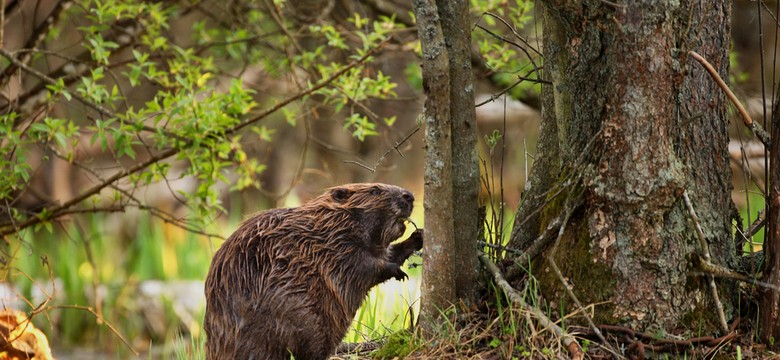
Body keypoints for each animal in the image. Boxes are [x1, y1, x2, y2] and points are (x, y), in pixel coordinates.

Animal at [201, 184, 420, 358]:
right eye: (375, 190)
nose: (409, 195)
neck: (327, 224)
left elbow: (387, 253)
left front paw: (418, 236)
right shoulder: (334, 247)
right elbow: (361, 266)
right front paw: (398, 272)